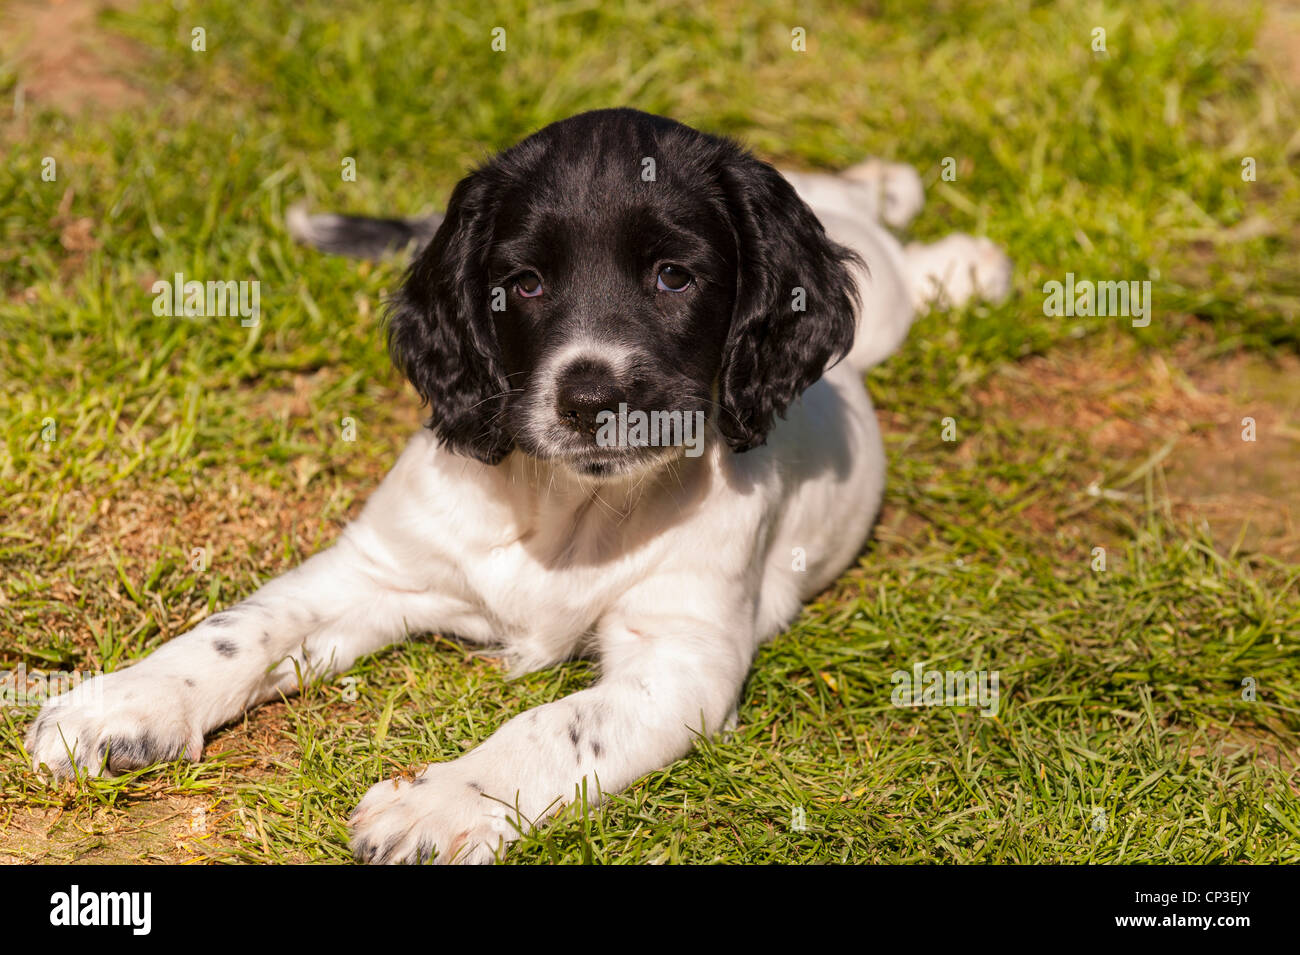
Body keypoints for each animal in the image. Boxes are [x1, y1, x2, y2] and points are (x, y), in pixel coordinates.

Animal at [25, 108, 1008, 862]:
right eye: (524, 284)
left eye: (675, 276)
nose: (593, 399)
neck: (570, 505)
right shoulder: (378, 570)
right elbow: (241, 627)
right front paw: (126, 702)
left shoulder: (682, 660)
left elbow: (554, 725)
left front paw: (440, 801)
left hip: (881, 312)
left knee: (890, 258)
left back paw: (955, 250)